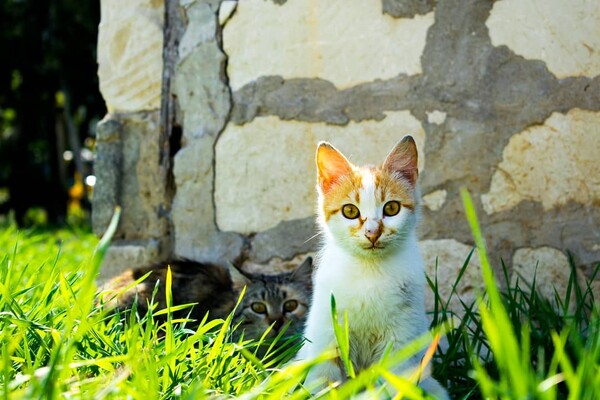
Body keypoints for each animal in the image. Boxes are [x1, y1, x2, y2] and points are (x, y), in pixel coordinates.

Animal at [298, 136, 448, 398]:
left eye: (391, 208)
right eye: (350, 211)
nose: (372, 232)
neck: (370, 270)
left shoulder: (402, 338)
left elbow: (393, 383)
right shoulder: (326, 333)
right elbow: (324, 380)